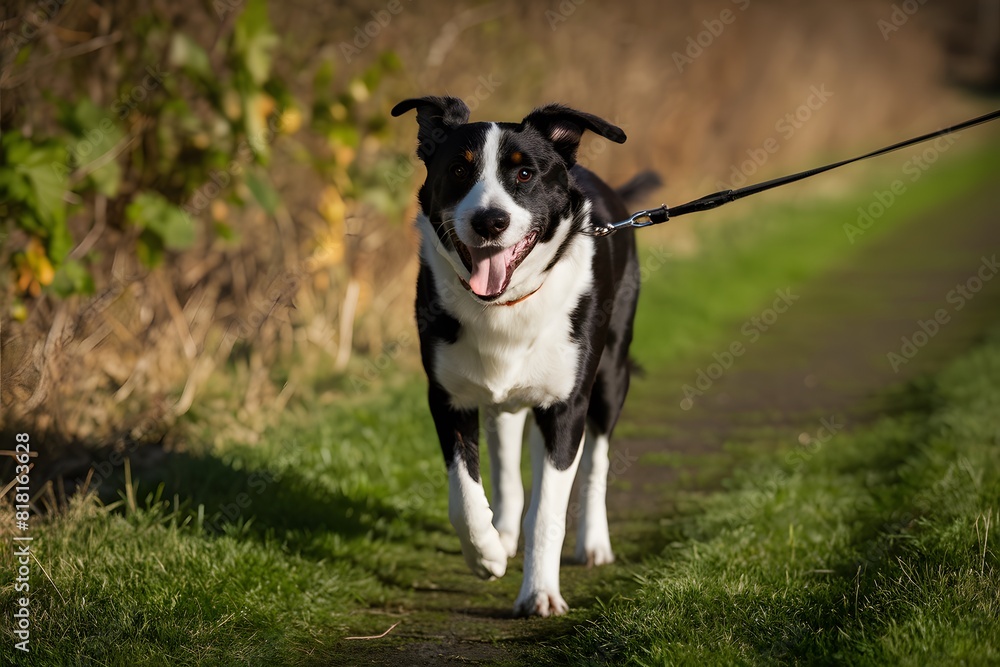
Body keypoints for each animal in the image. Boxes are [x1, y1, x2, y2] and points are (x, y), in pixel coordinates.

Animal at [390, 96, 656, 620]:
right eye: (458, 169)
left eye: (526, 173)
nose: (489, 221)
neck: (506, 305)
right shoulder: (447, 398)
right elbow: (464, 494)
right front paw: (487, 554)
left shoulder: (566, 404)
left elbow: (550, 508)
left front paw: (539, 593)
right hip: (502, 396)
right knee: (507, 457)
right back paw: (505, 532)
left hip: (610, 374)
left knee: (596, 460)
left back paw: (593, 543)